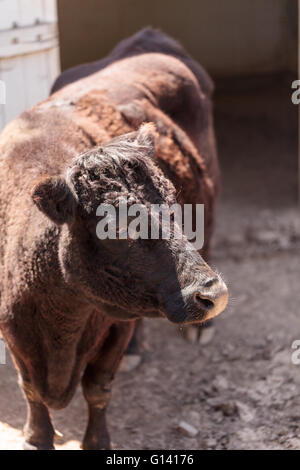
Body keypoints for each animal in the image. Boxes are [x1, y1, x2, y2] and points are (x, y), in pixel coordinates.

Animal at [0, 27, 226, 450]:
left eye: (174, 206)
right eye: (117, 228)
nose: (214, 295)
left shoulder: (113, 328)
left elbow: (98, 388)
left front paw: (97, 441)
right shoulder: (14, 331)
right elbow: (29, 387)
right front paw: (37, 435)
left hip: (212, 198)